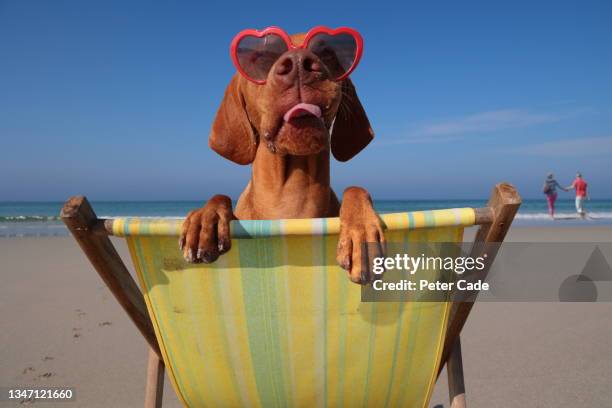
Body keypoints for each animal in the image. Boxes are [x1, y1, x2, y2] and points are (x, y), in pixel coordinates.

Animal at [179, 33, 384, 284]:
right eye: (261, 56)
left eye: (327, 52)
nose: (299, 64)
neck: (290, 196)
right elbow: (220, 196)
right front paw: (204, 219)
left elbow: (355, 189)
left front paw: (361, 229)